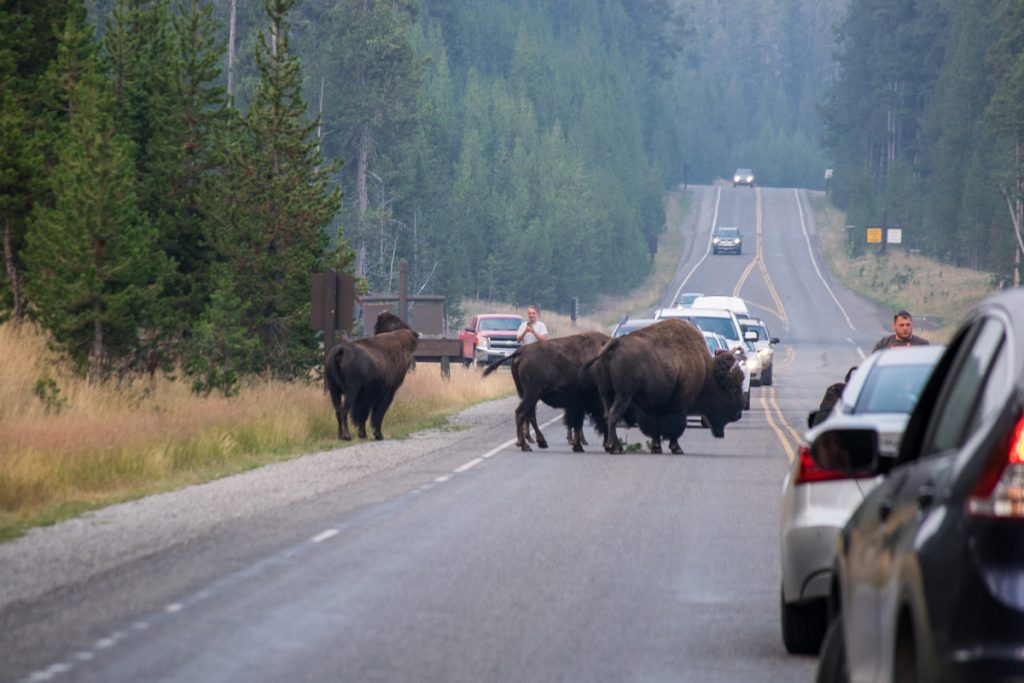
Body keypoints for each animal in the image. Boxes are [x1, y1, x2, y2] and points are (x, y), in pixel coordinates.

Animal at [585, 319, 745, 454]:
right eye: (733, 388)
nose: (738, 414)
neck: (706, 369)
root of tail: (615, 343)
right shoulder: (679, 404)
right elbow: (676, 426)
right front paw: (676, 448)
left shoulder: (653, 407)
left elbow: (655, 427)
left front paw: (656, 447)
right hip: (624, 396)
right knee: (614, 415)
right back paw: (616, 448)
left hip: (606, 395)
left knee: (607, 416)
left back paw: (610, 446)